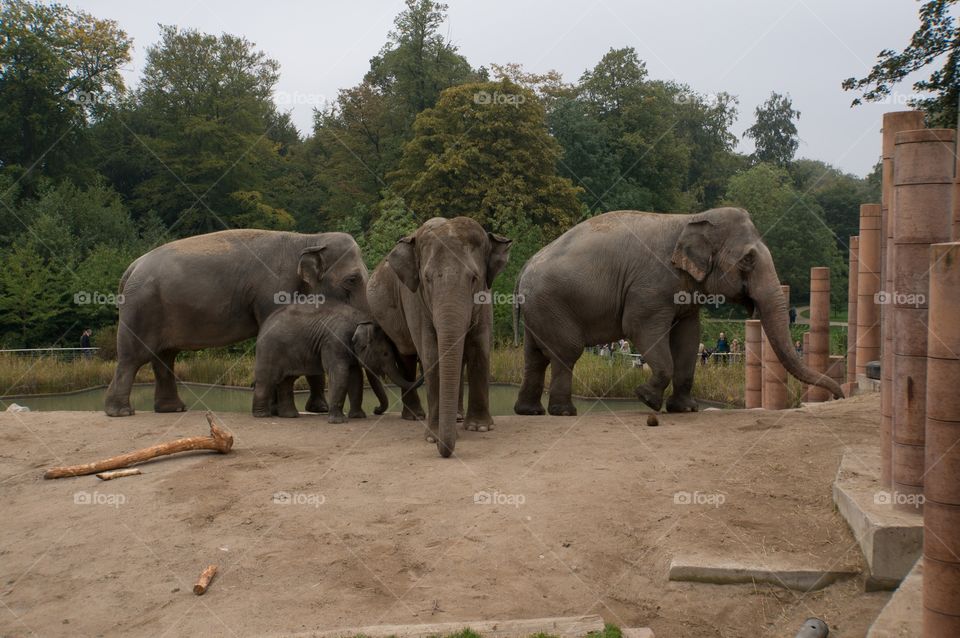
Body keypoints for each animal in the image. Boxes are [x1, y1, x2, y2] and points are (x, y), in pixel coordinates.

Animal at [104, 229, 368, 417]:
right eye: (352, 280)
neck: (309, 239)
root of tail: (131, 268)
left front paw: (317, 409)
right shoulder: (273, 290)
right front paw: (275, 411)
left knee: (164, 357)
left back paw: (172, 409)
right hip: (141, 307)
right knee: (134, 357)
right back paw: (121, 412)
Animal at [252, 300, 417, 423]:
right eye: (385, 354)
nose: (376, 410)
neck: (360, 320)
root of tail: (263, 326)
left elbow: (355, 377)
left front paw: (358, 417)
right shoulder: (335, 342)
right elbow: (340, 374)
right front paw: (339, 421)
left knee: (287, 381)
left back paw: (290, 416)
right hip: (269, 350)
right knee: (267, 380)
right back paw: (262, 415)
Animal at [367, 217, 512, 457]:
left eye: (474, 278)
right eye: (427, 278)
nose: (445, 450)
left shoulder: (486, 297)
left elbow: (480, 347)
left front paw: (480, 427)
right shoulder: (415, 300)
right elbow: (431, 354)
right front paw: (433, 437)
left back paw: (457, 417)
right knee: (406, 355)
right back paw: (415, 417)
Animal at [512, 207, 843, 416]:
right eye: (748, 259)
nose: (840, 395)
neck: (692, 218)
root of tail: (523, 269)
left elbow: (688, 337)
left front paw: (685, 408)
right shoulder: (649, 287)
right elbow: (639, 329)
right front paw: (646, 399)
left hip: (538, 311)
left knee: (535, 356)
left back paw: (530, 412)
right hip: (552, 304)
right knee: (565, 352)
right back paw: (564, 412)